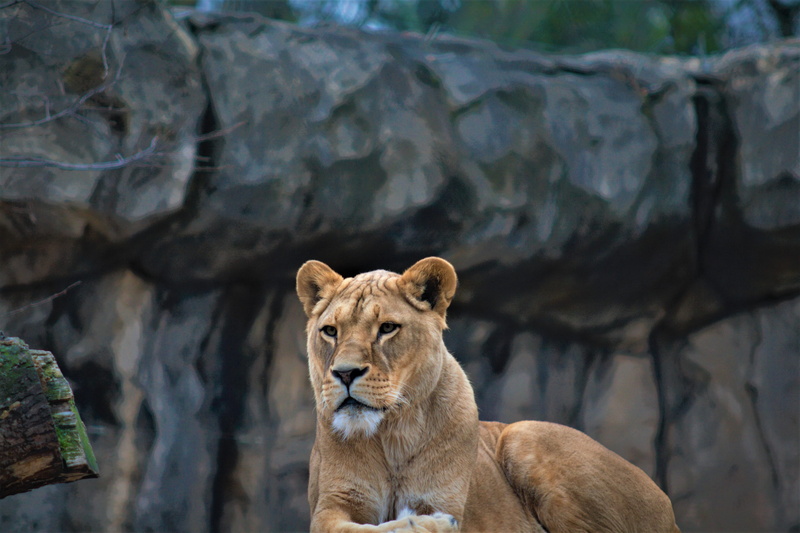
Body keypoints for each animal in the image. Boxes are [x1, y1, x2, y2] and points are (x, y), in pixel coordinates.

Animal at [296, 257, 680, 533]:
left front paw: (431, 522)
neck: (392, 436)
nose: (345, 373)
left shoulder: (446, 498)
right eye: (330, 331)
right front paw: (422, 524)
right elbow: (357, 529)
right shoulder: (332, 505)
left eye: (387, 328)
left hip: (523, 432)